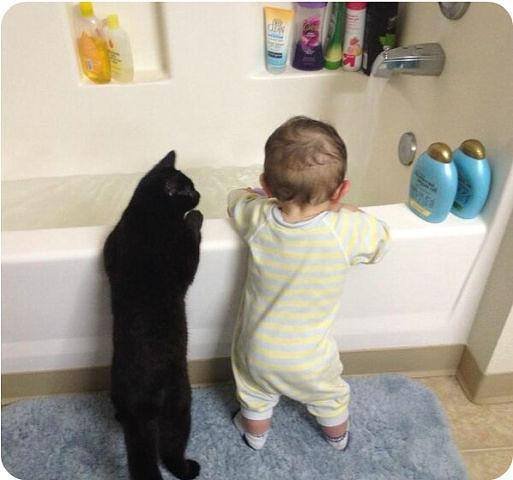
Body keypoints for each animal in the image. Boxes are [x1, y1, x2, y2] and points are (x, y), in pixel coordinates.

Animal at [103, 151, 202, 480]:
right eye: (188, 190)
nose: (199, 194)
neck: (145, 214)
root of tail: (139, 404)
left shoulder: (112, 244)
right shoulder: (183, 256)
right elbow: (192, 238)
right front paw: (196, 217)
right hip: (180, 402)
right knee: (170, 450)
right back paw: (189, 469)